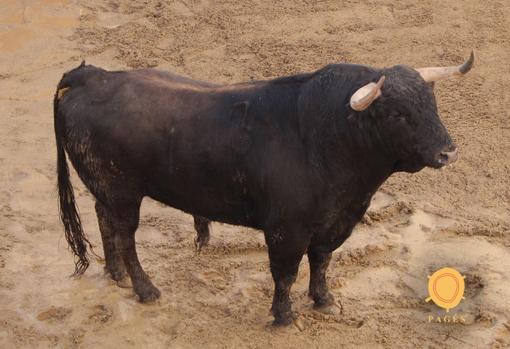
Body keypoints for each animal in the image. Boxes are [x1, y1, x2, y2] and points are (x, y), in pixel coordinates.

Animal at [54, 59, 466, 324]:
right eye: (398, 113)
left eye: (432, 103)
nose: (447, 151)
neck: (328, 139)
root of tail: (90, 77)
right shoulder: (286, 230)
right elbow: (285, 273)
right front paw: (283, 316)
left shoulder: (334, 221)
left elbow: (322, 262)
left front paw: (324, 300)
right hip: (124, 193)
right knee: (125, 235)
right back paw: (145, 288)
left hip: (107, 190)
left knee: (104, 220)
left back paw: (116, 274)